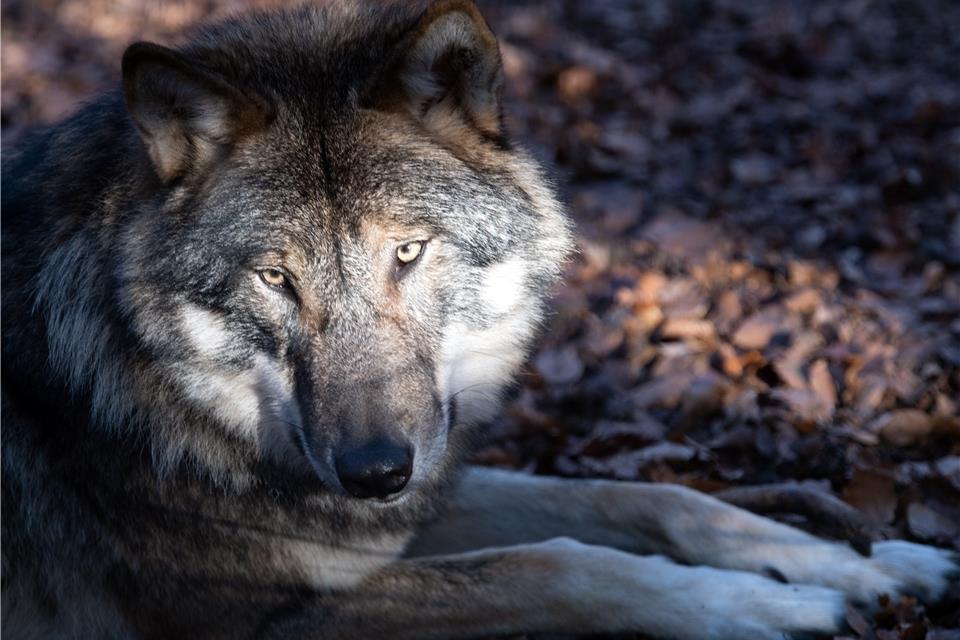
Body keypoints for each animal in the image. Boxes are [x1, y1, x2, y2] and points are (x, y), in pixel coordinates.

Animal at [1, 1, 956, 638]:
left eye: (408, 252)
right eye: (275, 278)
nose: (375, 473)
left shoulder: (409, 501)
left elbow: (647, 497)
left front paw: (866, 563)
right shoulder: (254, 618)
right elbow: (560, 563)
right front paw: (754, 605)